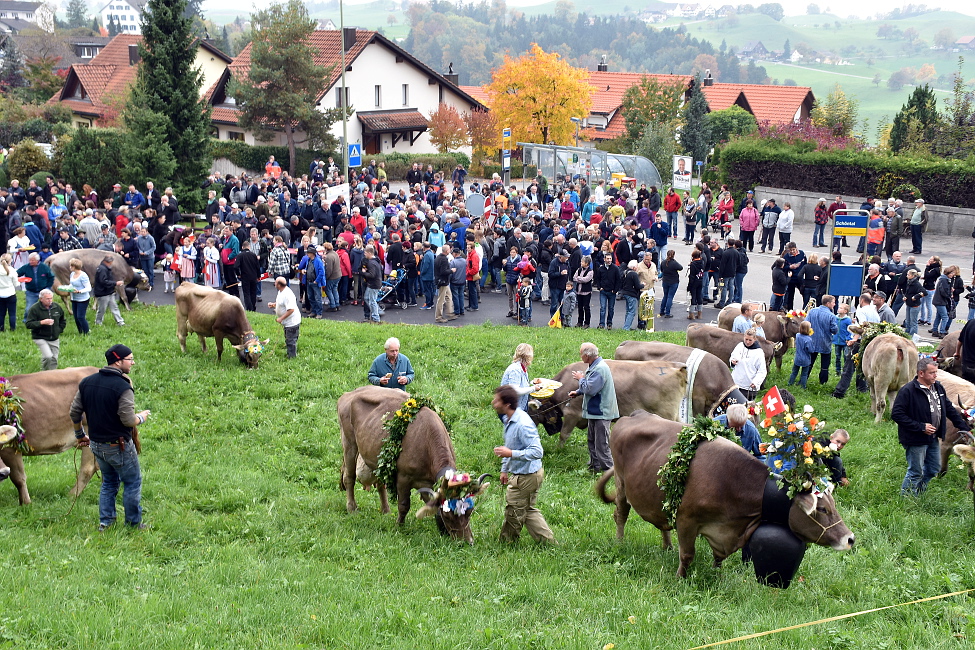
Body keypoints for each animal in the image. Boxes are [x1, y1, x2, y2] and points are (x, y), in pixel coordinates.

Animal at [338, 384, 492, 540]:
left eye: (470, 511)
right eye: (449, 516)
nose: (467, 541)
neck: (427, 440)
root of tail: (350, 393)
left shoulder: (426, 482)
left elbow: (431, 504)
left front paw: (441, 529)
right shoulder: (403, 478)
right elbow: (404, 505)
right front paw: (399, 526)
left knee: (380, 483)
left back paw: (386, 510)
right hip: (349, 443)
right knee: (349, 477)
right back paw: (352, 508)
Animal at [528, 356, 688, 442]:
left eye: (529, 410)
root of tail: (676, 367)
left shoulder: (571, 413)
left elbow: (563, 435)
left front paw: (559, 451)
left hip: (666, 414)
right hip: (675, 414)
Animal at [596, 410, 856, 576]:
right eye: (822, 509)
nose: (850, 538)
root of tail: (634, 414)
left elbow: (719, 557)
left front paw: (716, 575)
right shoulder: (687, 519)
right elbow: (687, 554)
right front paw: (680, 579)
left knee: (662, 522)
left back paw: (666, 546)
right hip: (621, 483)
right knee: (621, 514)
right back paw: (619, 543)